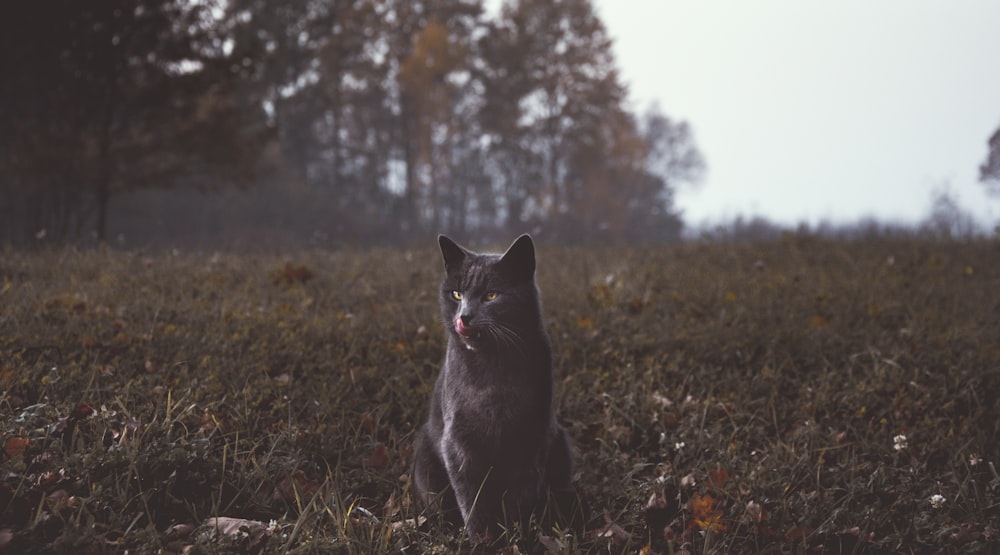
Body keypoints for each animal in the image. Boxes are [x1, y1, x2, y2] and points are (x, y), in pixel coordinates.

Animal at [412, 232, 572, 540]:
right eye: (457, 294)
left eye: (491, 295)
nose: (464, 317)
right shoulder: (458, 441)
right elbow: (472, 496)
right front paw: (481, 539)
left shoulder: (532, 434)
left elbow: (520, 492)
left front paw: (516, 533)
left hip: (561, 444)